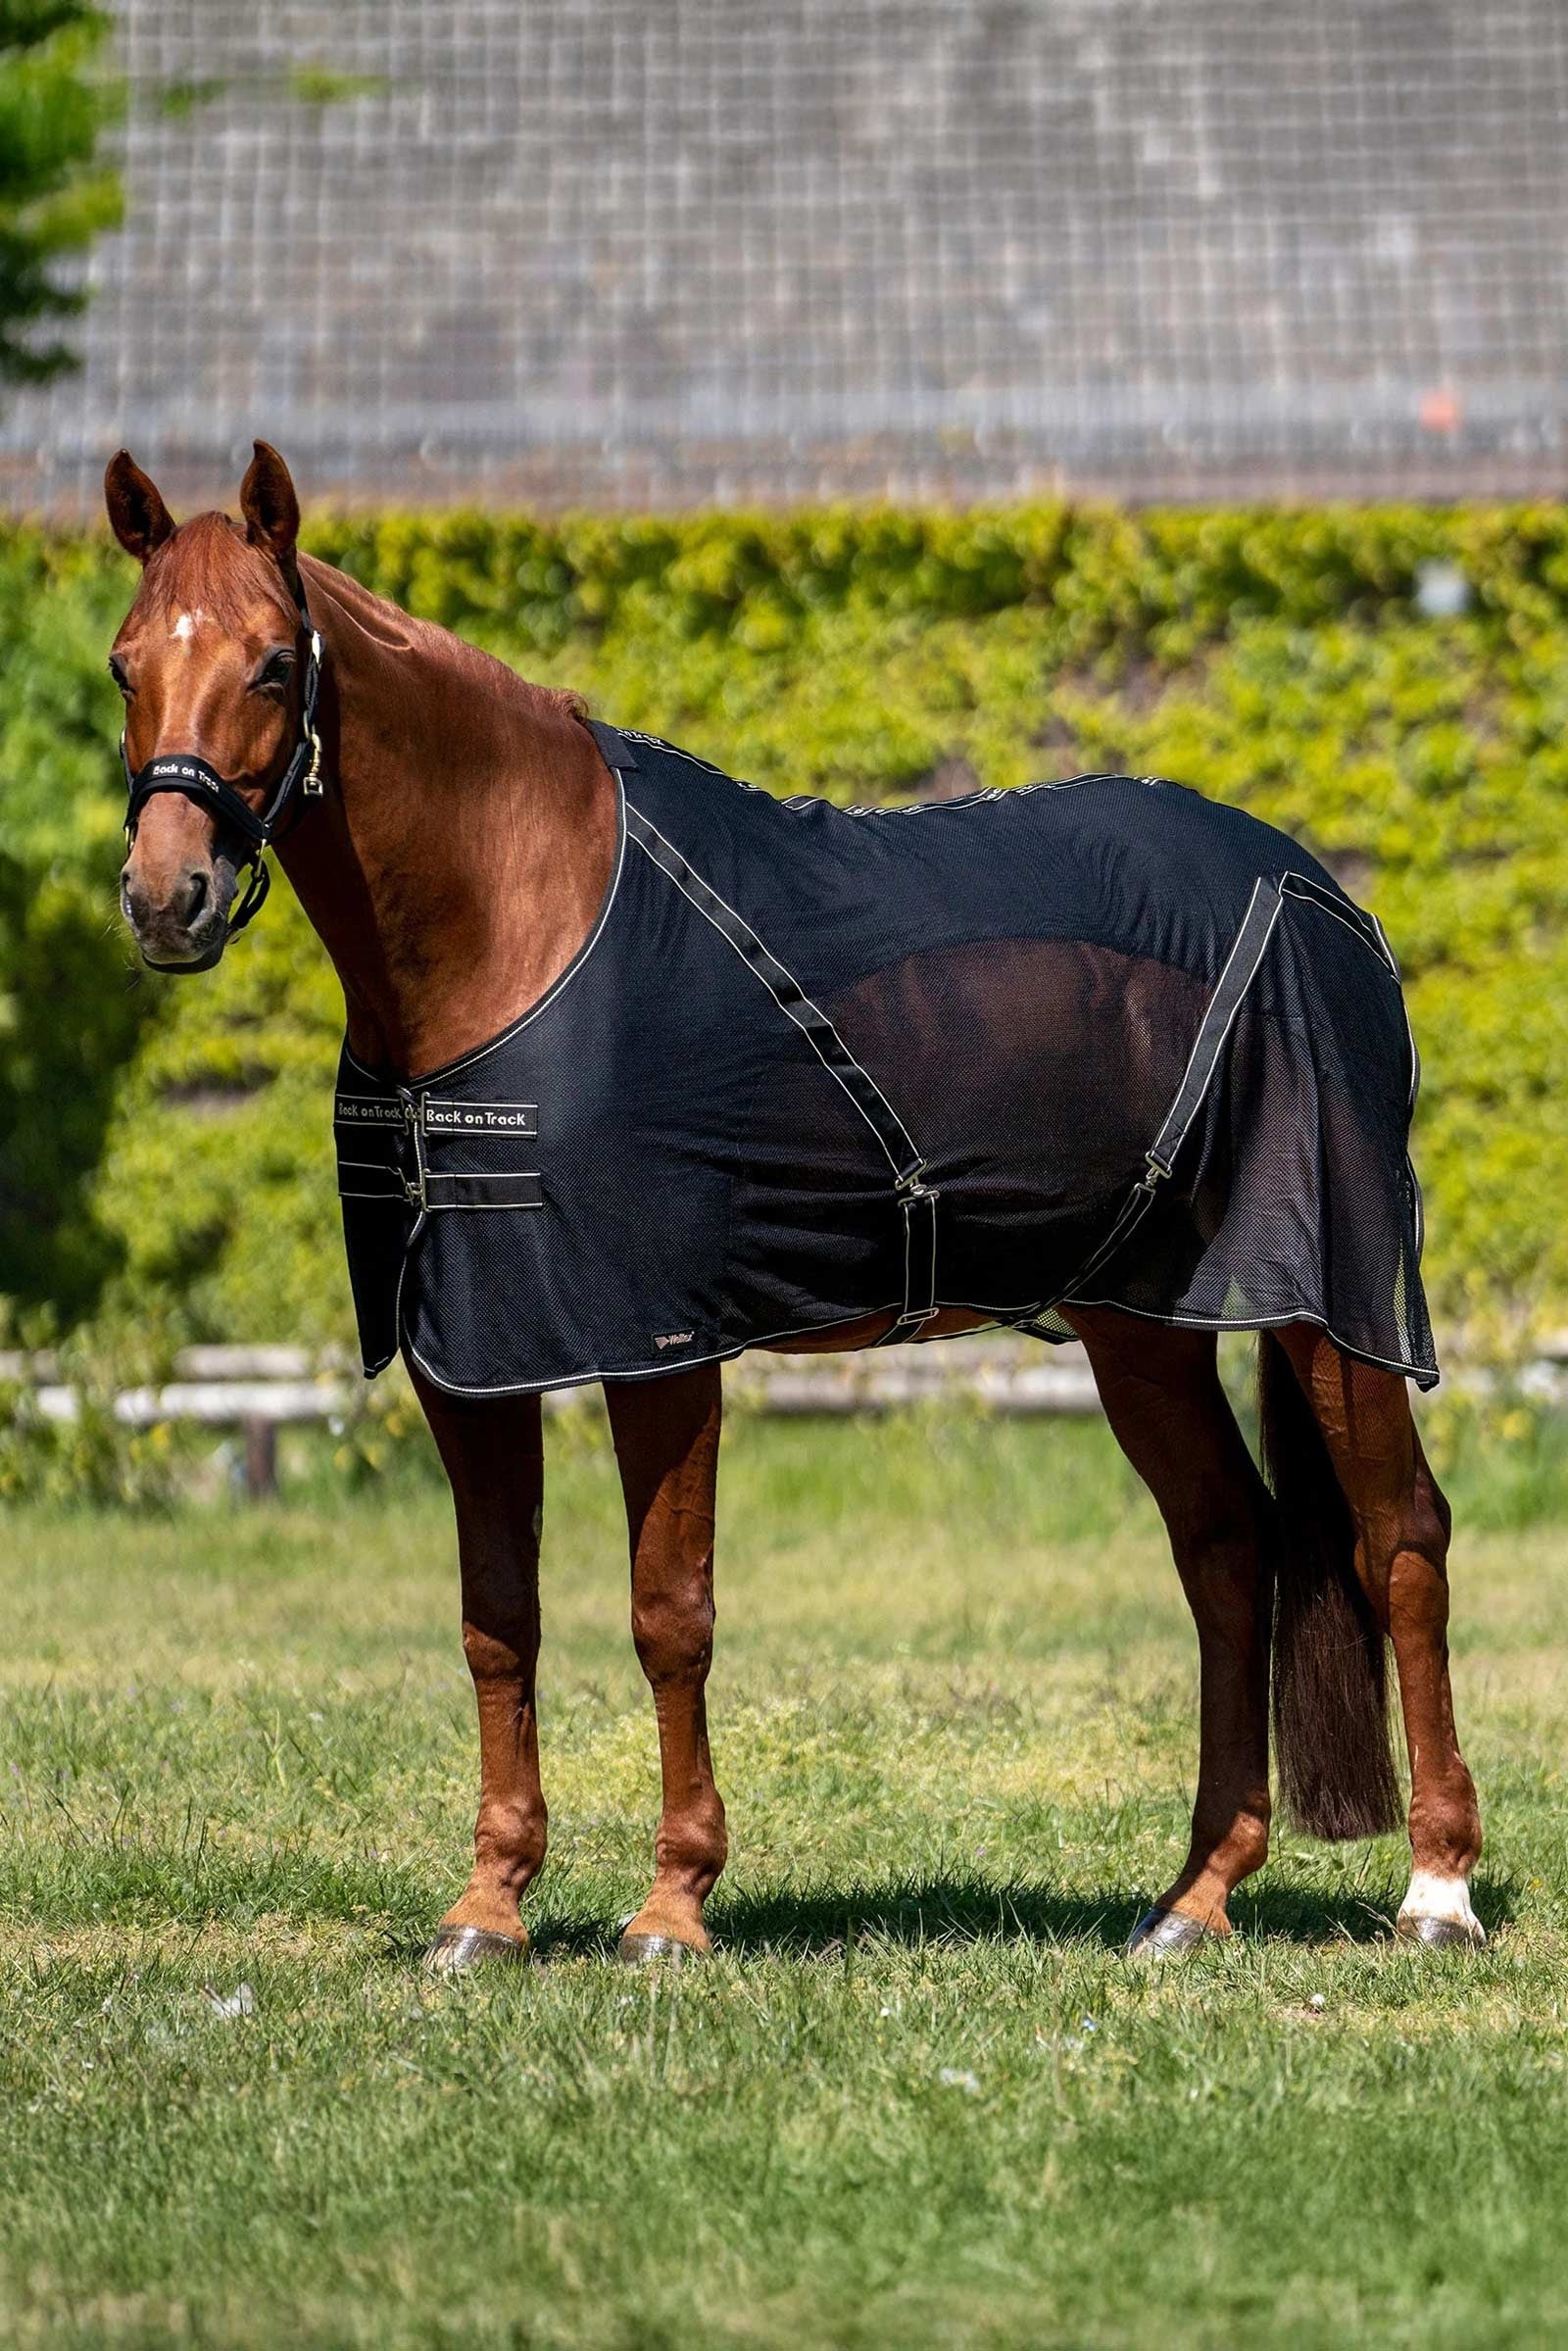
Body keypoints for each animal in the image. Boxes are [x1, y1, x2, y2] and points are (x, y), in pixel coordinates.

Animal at [103, 443, 1484, 1967]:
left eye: (273, 662)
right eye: (124, 665)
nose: (167, 894)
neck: (526, 926)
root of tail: (1326, 896)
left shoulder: (656, 1342)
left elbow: (669, 1610)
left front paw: (671, 1903)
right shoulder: (466, 1352)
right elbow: (496, 1619)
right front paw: (489, 1905)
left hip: (1328, 1300)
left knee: (1400, 1538)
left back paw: (1438, 1887)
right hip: (1143, 1322)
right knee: (1229, 1546)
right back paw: (1194, 1896)